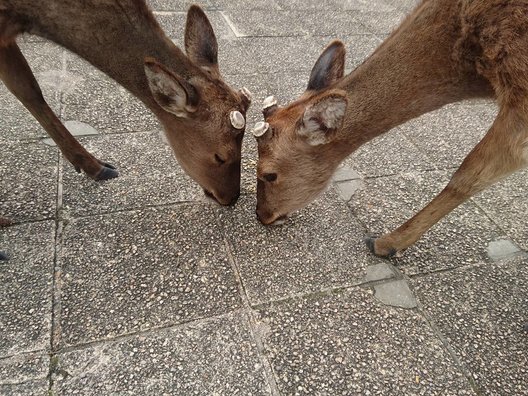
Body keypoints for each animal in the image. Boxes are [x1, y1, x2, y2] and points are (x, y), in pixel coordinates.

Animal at [0, 1, 252, 260]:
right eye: (220, 156)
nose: (231, 197)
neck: (32, 15)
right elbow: (28, 89)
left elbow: (28, 89)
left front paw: (97, 166)